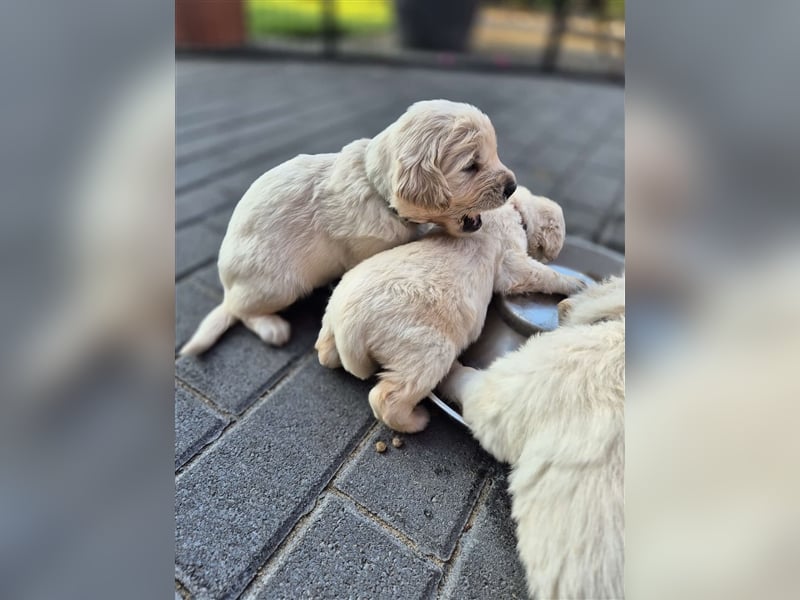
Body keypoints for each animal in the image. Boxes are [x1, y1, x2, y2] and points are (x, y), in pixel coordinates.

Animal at [180, 98, 520, 352]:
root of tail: (227, 285)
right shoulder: (366, 251)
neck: (378, 191)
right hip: (279, 283)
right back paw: (271, 327)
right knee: (241, 310)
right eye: (471, 166)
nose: (512, 186)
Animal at [312, 186, 580, 432]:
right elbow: (535, 273)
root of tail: (347, 325)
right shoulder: (511, 259)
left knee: (325, 352)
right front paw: (574, 283)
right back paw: (416, 421)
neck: (512, 209)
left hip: (333, 320)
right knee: (389, 397)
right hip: (426, 347)